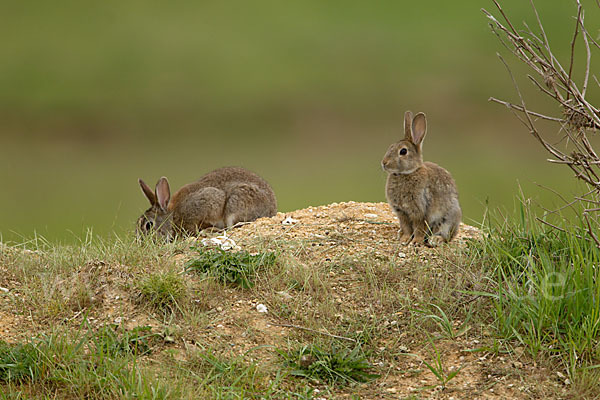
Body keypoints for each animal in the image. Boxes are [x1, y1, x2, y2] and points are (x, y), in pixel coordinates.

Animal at [137, 166, 278, 241]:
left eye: (149, 225)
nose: (142, 243)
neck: (172, 216)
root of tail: (272, 209)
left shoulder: (207, 202)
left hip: (235, 204)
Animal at [382, 111, 462, 245]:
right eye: (390, 146)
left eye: (403, 151)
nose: (384, 163)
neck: (407, 173)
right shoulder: (402, 212)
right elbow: (406, 227)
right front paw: (404, 240)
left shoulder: (421, 211)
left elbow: (419, 228)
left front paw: (416, 242)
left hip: (448, 218)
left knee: (446, 236)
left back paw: (436, 239)